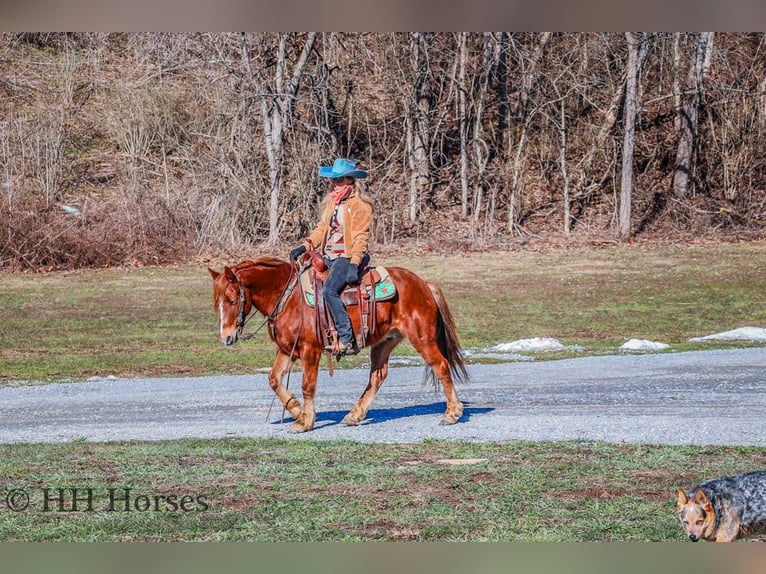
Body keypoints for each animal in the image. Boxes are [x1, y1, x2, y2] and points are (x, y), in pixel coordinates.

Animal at [208, 256, 468, 433]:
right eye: (217, 302)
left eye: (232, 299)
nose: (226, 337)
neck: (288, 297)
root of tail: (423, 284)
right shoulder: (286, 350)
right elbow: (273, 379)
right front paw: (296, 410)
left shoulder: (309, 350)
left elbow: (308, 385)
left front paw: (305, 421)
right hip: (384, 342)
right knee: (377, 376)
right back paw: (354, 415)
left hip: (422, 338)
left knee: (441, 366)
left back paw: (452, 413)